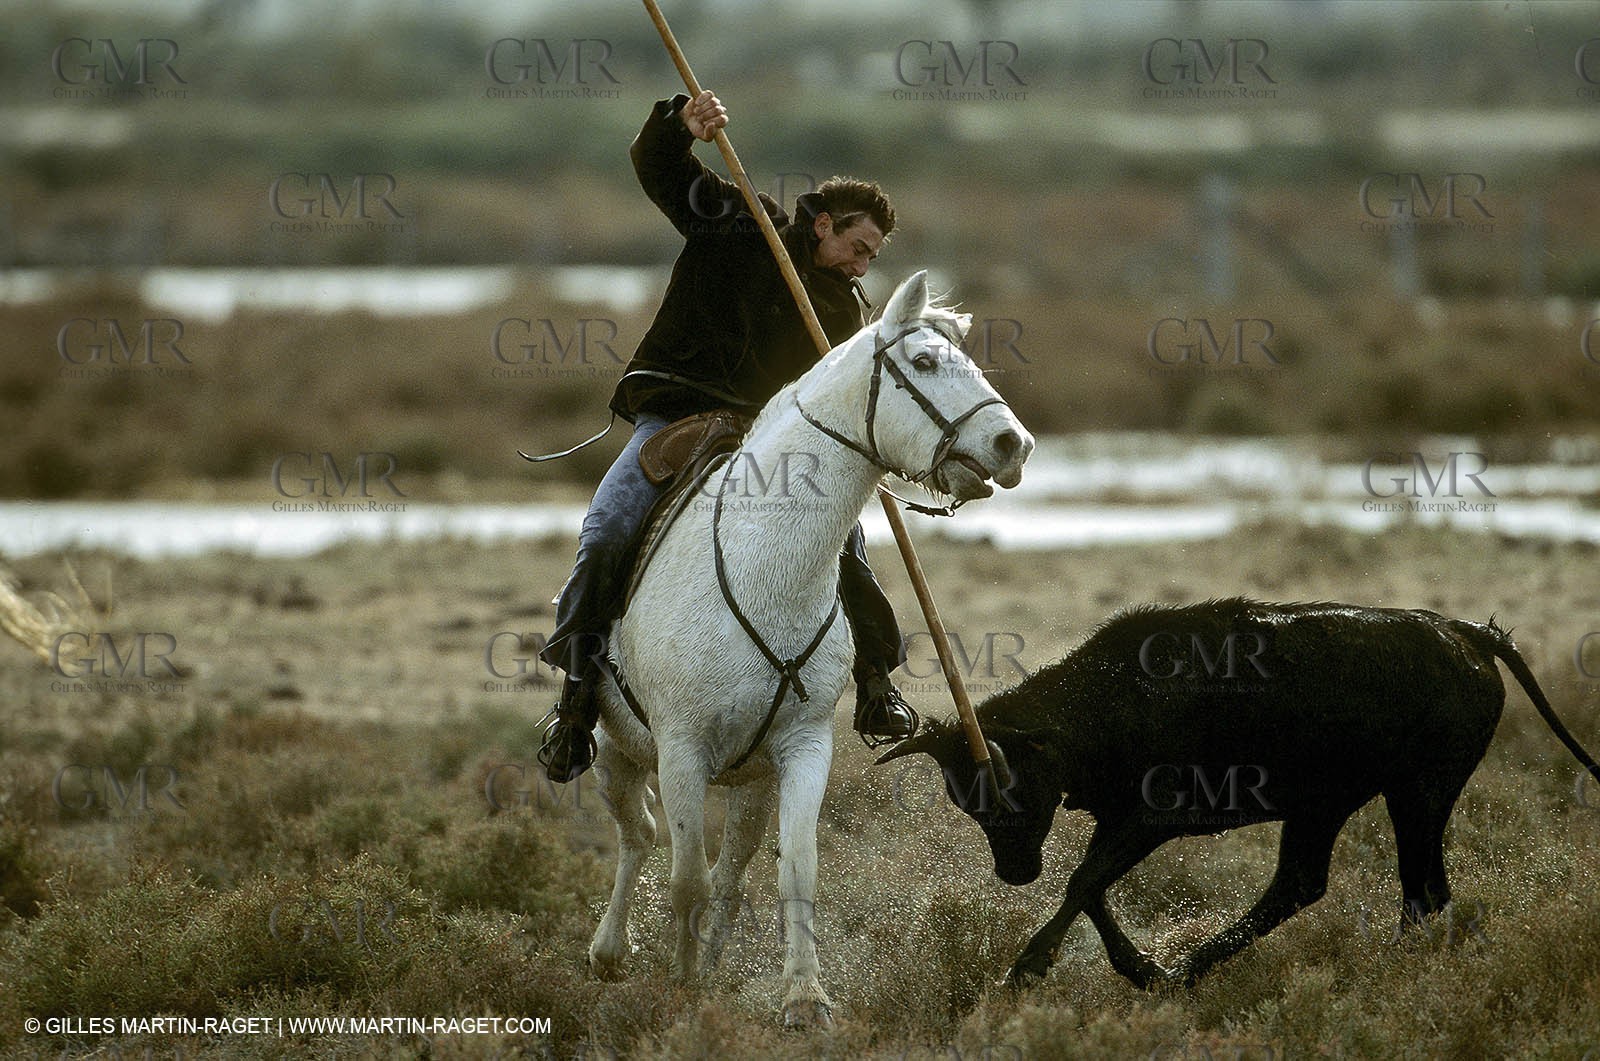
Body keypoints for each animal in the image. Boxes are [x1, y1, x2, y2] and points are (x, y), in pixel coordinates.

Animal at [581, 270, 1035, 1027]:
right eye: (924, 362)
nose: (1013, 445)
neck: (762, 566)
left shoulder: (802, 746)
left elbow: (794, 867)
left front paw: (803, 996)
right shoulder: (681, 749)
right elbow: (683, 878)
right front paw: (681, 992)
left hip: (750, 779)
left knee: (730, 873)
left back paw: (705, 961)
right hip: (616, 749)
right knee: (637, 835)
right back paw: (610, 952)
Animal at [878, 598, 1600, 988]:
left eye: (1007, 788)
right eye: (964, 800)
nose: (1013, 871)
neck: (1111, 700)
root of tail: (1468, 634)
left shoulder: (1157, 815)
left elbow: (1085, 880)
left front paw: (1031, 965)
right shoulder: (1120, 819)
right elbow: (1092, 886)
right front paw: (1141, 968)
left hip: (1416, 792)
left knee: (1394, 890)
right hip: (1348, 802)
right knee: (1347, 886)